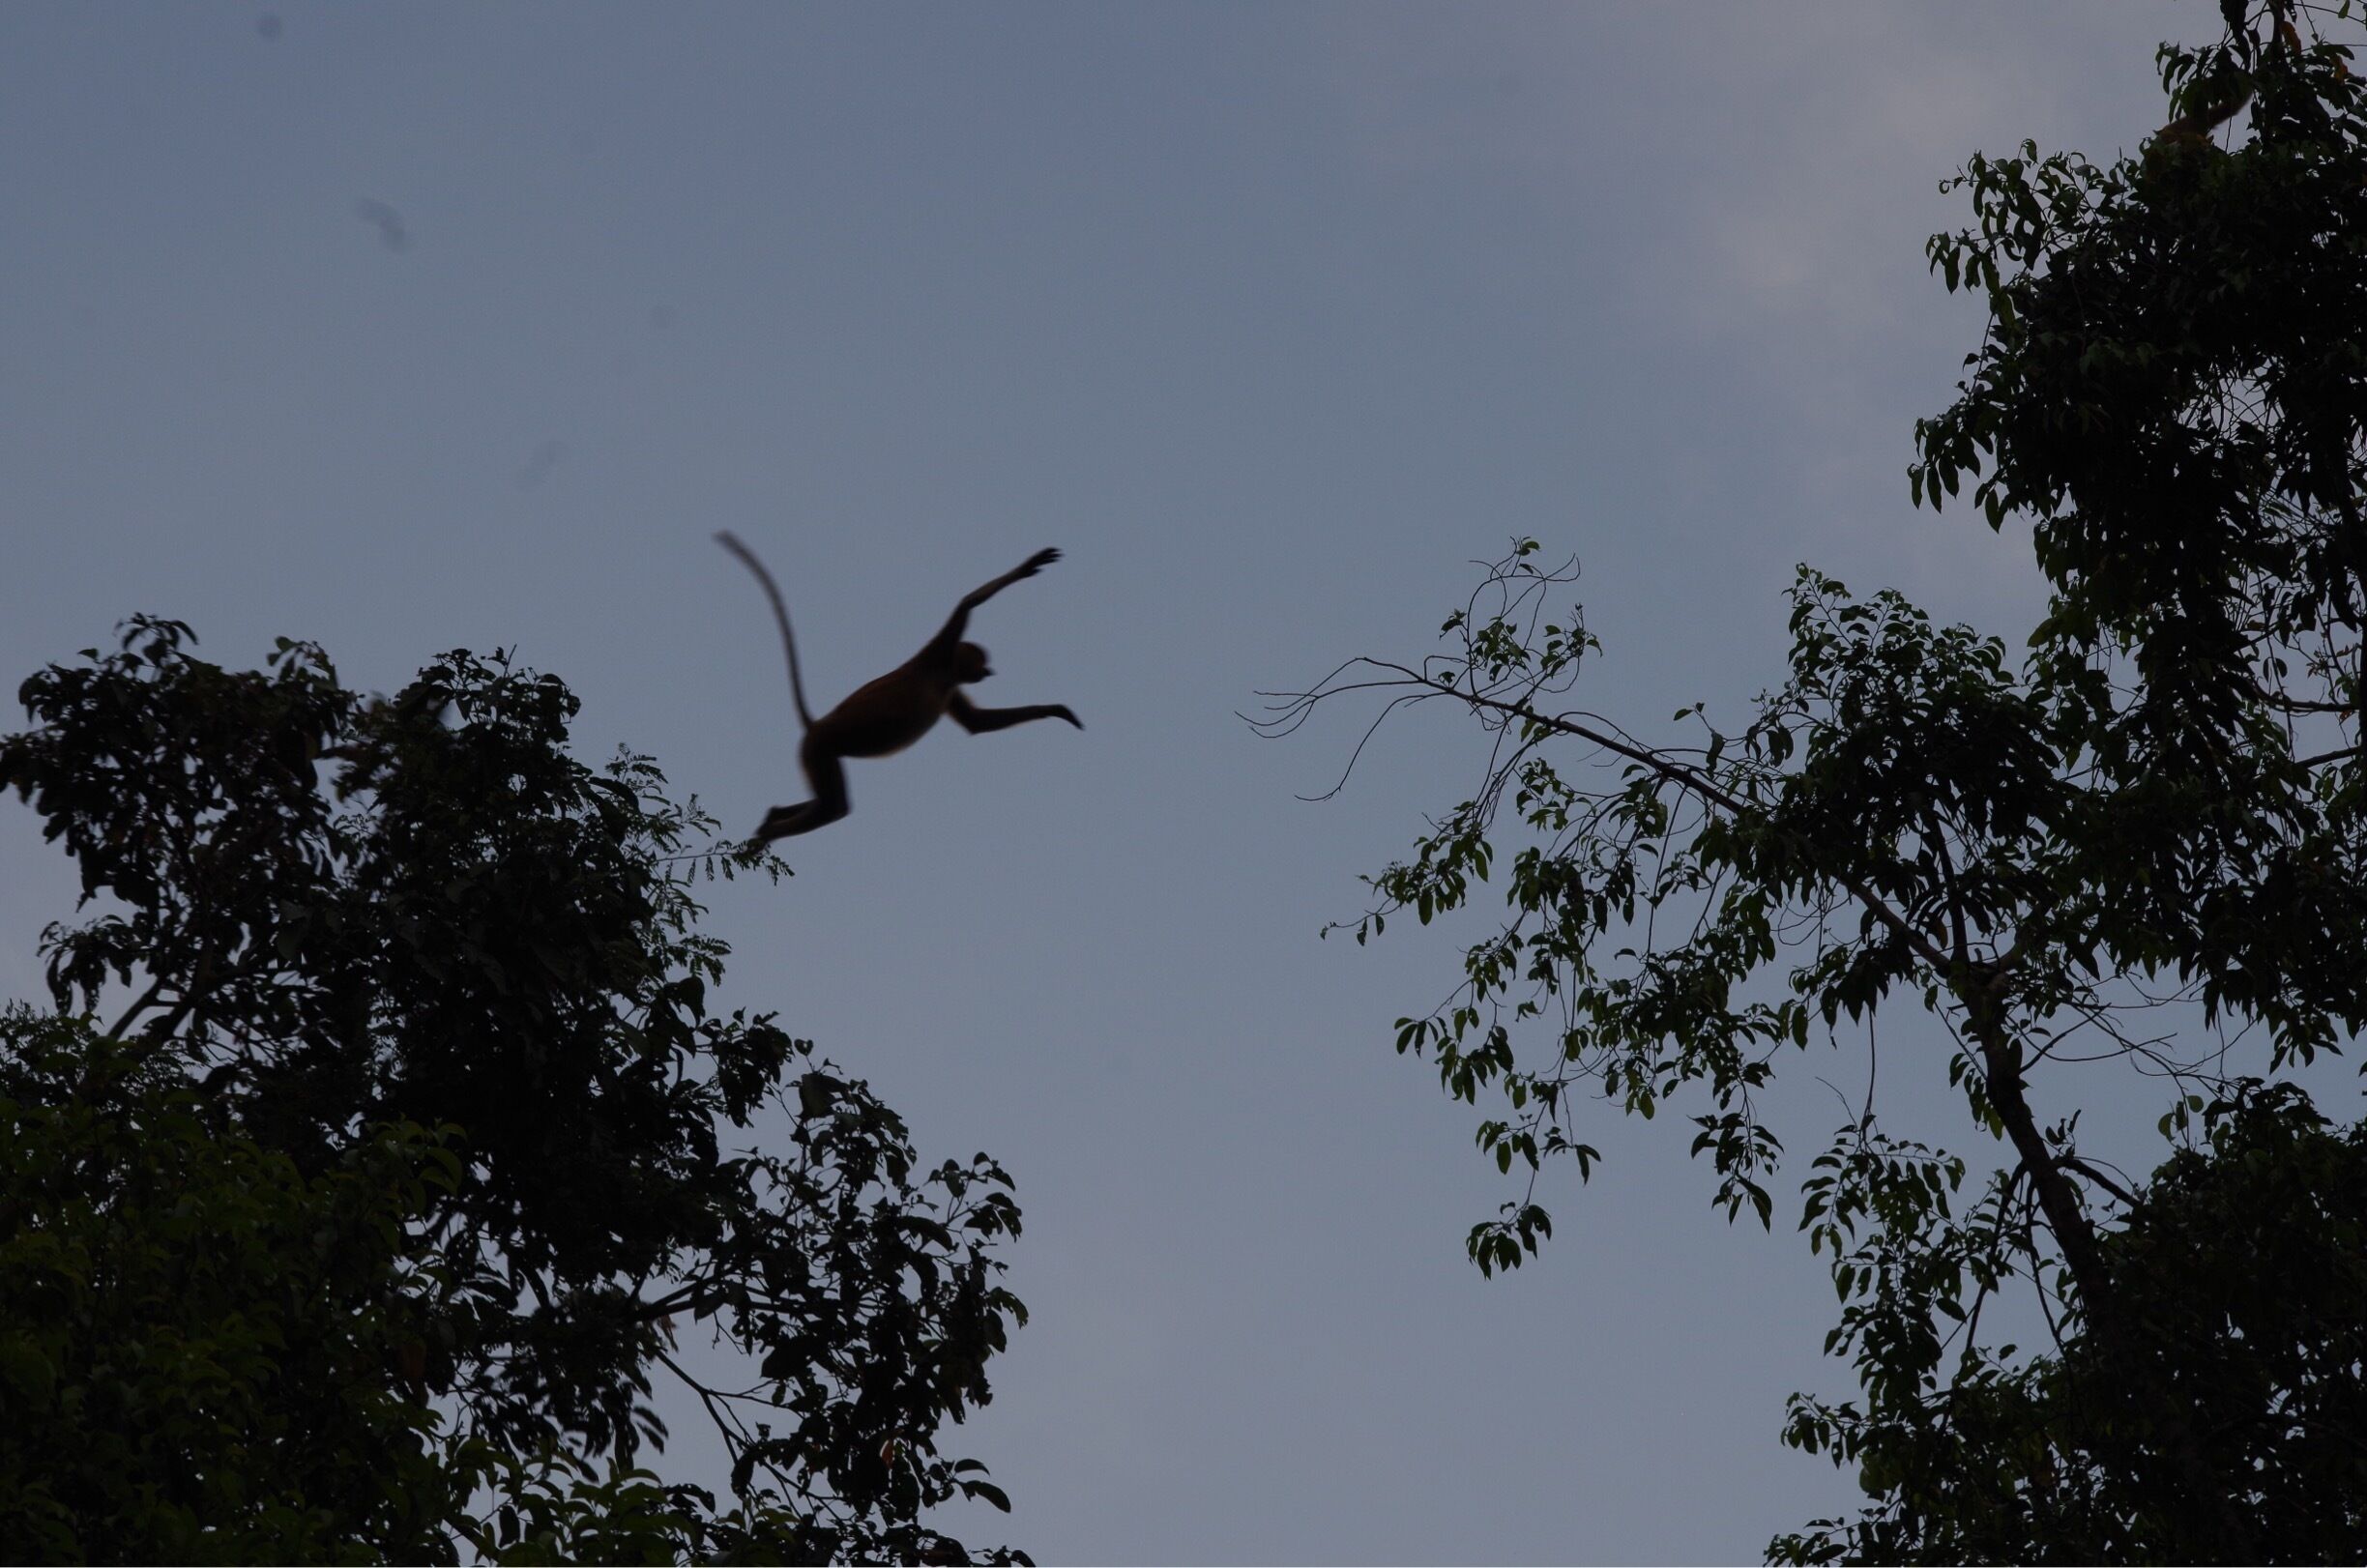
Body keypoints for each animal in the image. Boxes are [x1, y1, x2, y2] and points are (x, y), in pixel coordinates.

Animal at [715, 532, 1082, 845]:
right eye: (982, 662)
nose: (989, 671)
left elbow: (977, 723)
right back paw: (768, 833)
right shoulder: (936, 653)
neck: (944, 673)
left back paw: (772, 817)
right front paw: (1027, 566)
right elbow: (967, 604)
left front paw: (1053, 711)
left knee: (825, 803)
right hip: (820, 747)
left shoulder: (949, 686)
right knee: (834, 806)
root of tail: (816, 723)